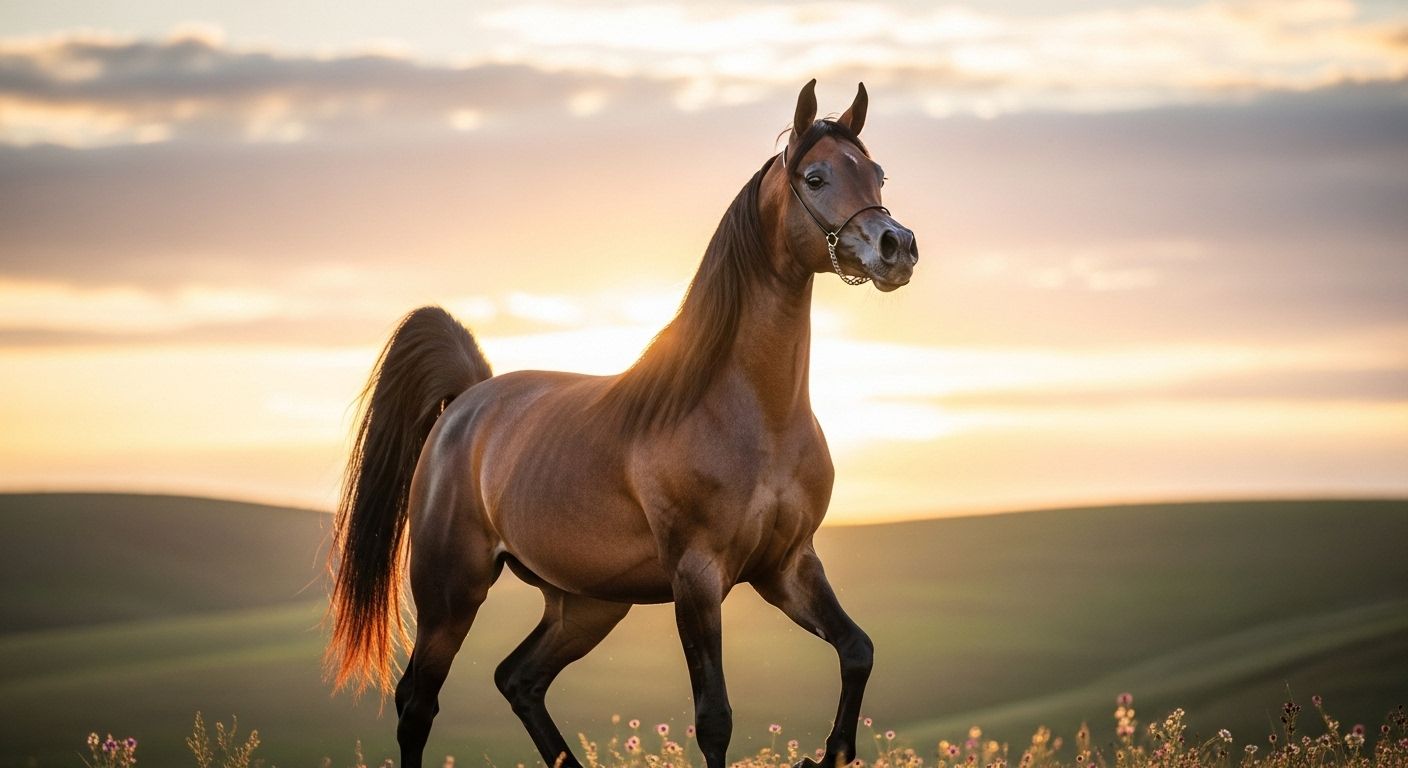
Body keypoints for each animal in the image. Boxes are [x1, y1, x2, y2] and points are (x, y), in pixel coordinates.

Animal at [326, 79, 919, 768]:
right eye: (816, 176)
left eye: (877, 174)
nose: (896, 246)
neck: (756, 416)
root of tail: (470, 399)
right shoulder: (697, 576)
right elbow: (714, 719)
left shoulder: (788, 566)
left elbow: (857, 651)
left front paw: (827, 753)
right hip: (452, 594)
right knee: (418, 704)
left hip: (587, 604)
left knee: (518, 679)